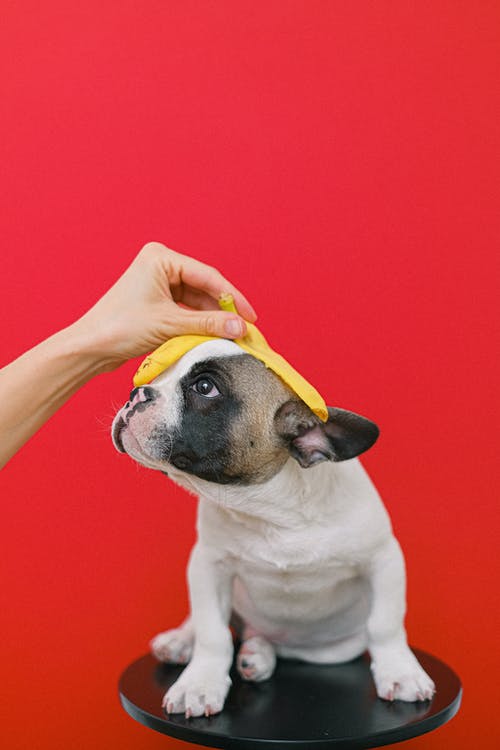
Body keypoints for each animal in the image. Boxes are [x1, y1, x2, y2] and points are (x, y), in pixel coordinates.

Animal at [112, 340, 434, 716]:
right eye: (153, 376)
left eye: (205, 387)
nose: (137, 393)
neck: (271, 512)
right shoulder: (208, 565)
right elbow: (212, 631)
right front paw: (200, 683)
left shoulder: (382, 560)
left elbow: (386, 623)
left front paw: (400, 672)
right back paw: (184, 641)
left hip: (332, 650)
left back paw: (257, 655)